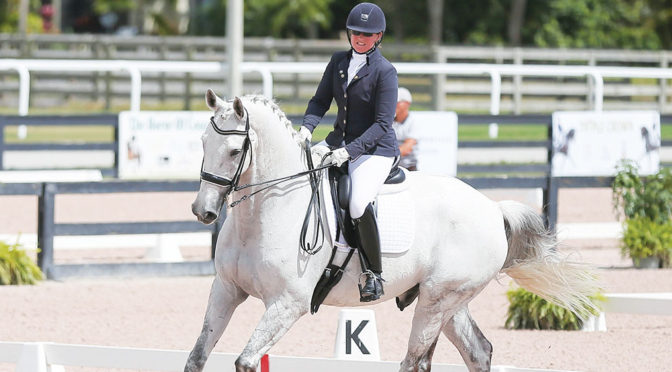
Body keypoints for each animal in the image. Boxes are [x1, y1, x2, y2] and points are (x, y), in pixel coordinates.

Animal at [186, 90, 600, 372]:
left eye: (235, 151)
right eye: (203, 143)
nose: (203, 211)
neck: (264, 213)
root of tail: (492, 208)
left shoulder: (287, 304)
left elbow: (245, 361)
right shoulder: (225, 291)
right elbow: (197, 356)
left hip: (437, 301)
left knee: (415, 361)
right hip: (448, 300)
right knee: (478, 351)